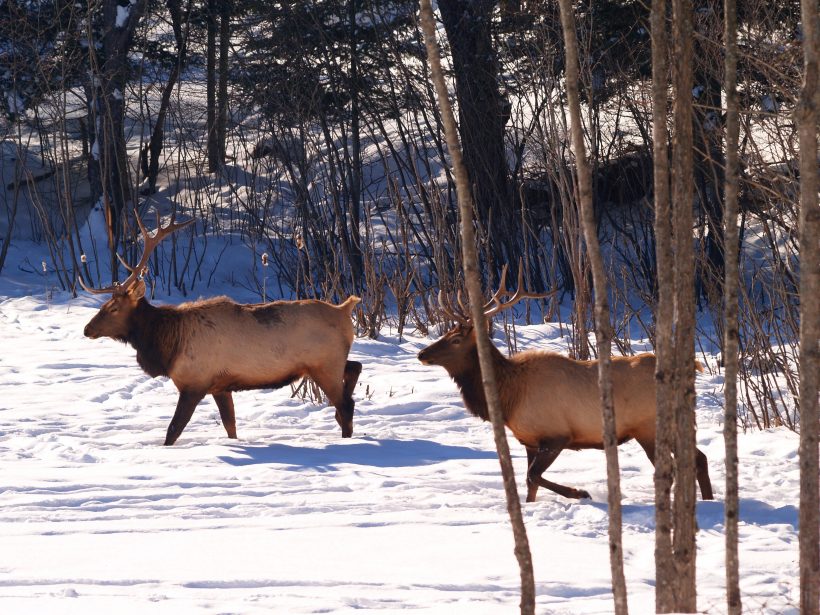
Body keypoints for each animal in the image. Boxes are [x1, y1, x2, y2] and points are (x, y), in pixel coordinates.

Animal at [81, 209, 362, 446]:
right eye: (105, 304)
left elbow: (173, 430)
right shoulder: (220, 386)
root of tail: (344, 309)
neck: (169, 346)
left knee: (346, 404)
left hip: (324, 364)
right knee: (354, 368)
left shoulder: (195, 383)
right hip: (327, 362)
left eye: (114, 308)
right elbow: (230, 426)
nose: (87, 329)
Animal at [416, 268, 712, 502]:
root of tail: (691, 370)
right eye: (446, 332)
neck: (508, 397)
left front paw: (581, 492)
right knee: (699, 458)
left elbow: (533, 476)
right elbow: (529, 482)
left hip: (648, 426)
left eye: (456, 340)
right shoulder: (529, 440)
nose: (422, 354)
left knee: (674, 466)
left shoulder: (556, 435)